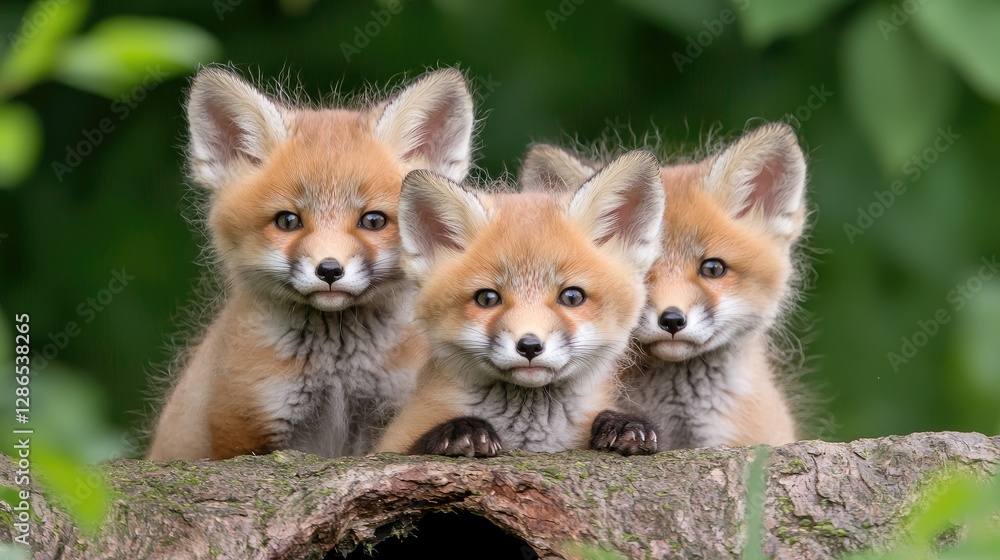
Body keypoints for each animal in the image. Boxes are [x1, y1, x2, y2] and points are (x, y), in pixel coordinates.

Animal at [146, 67, 475, 460]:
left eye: (373, 221)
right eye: (288, 221)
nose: (329, 270)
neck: (338, 374)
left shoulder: (393, 412)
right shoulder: (244, 428)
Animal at [375, 151, 667, 457]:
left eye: (572, 297)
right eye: (487, 298)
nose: (529, 346)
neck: (530, 439)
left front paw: (623, 425)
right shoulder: (390, 443)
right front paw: (461, 431)